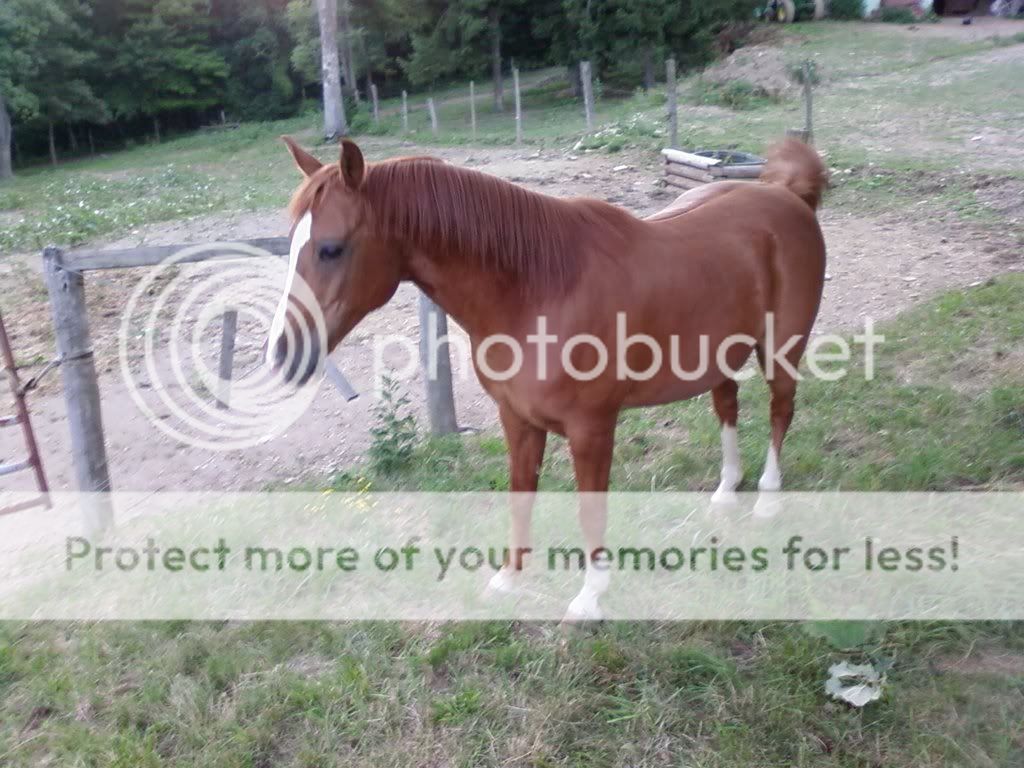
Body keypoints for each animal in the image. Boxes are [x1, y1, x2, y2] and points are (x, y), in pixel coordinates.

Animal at [270, 137, 823, 618]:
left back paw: (768, 498)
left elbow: (589, 511)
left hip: (781, 349)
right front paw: (508, 578)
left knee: (781, 409)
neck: (539, 288)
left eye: (331, 248)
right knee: (727, 406)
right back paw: (727, 490)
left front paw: (590, 597)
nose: (283, 353)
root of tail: (787, 196)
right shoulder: (517, 420)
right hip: (720, 354)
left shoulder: (592, 429)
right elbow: (521, 495)